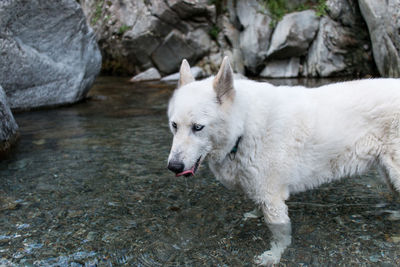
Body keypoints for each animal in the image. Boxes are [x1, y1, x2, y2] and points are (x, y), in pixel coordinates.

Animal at [166, 57, 400, 266]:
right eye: (174, 125)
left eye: (198, 127)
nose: (173, 167)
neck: (243, 127)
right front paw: (254, 214)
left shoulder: (272, 198)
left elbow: (279, 235)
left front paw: (274, 256)